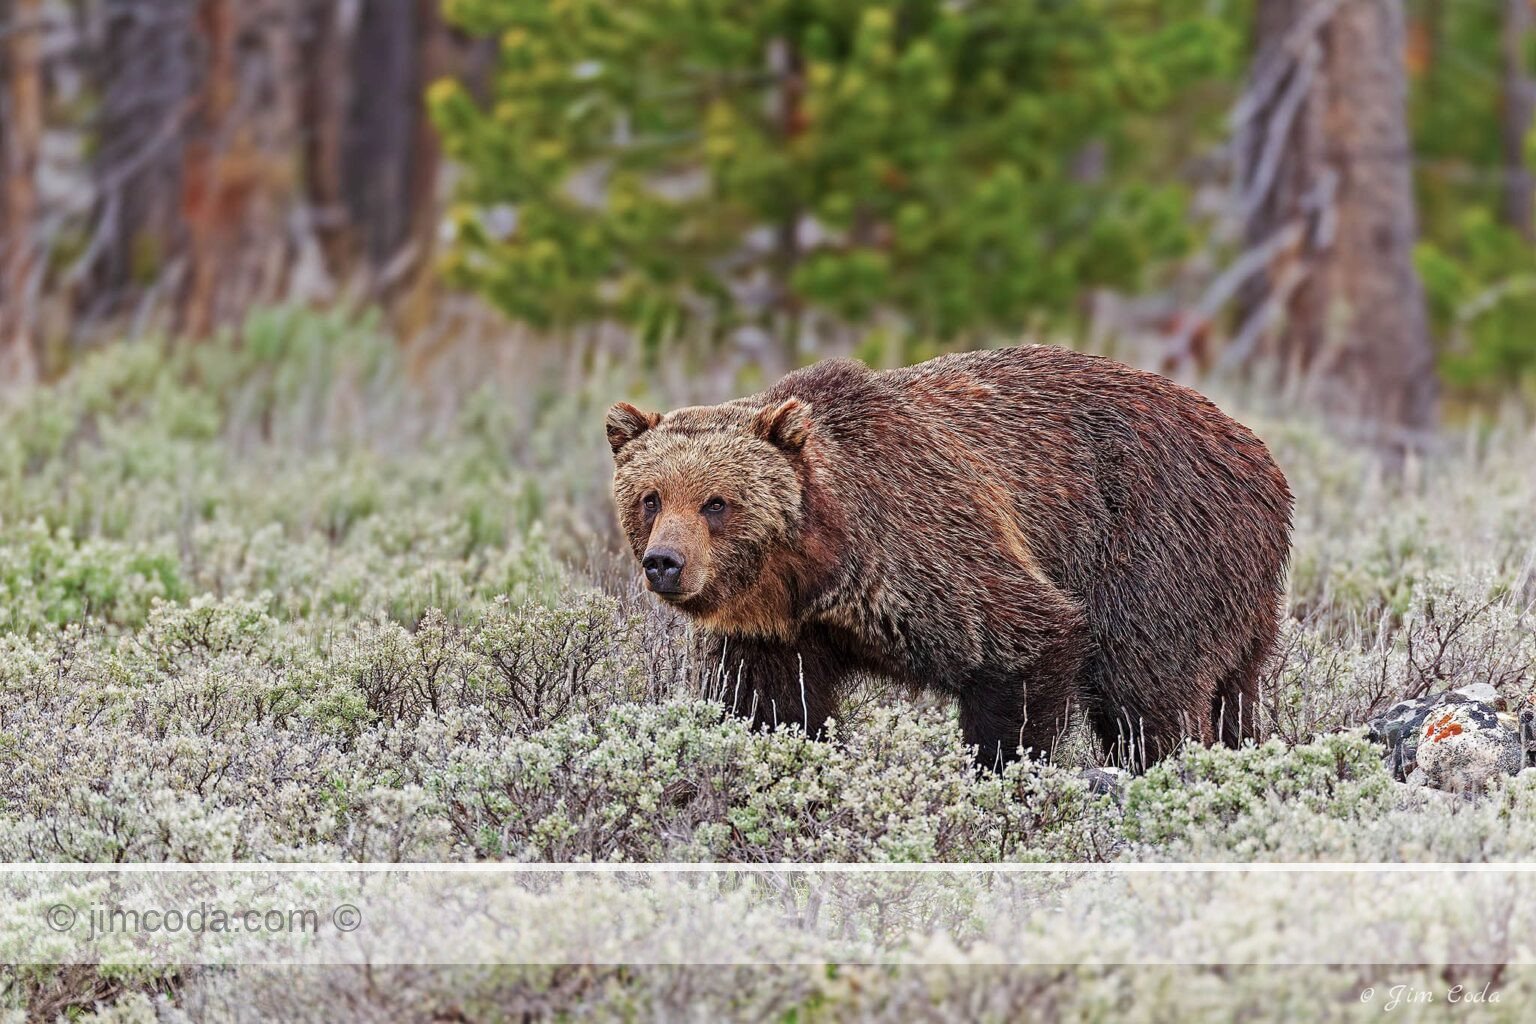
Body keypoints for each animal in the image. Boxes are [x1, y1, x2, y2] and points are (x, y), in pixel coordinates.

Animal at [606, 345, 1293, 769]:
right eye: (651, 497)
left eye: (716, 502)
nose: (665, 562)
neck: (816, 566)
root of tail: (1261, 456)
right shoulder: (776, 630)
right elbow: (771, 706)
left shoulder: (926, 544)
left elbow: (1024, 645)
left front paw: (1001, 770)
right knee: (1234, 695)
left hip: (1158, 551)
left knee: (1148, 692)